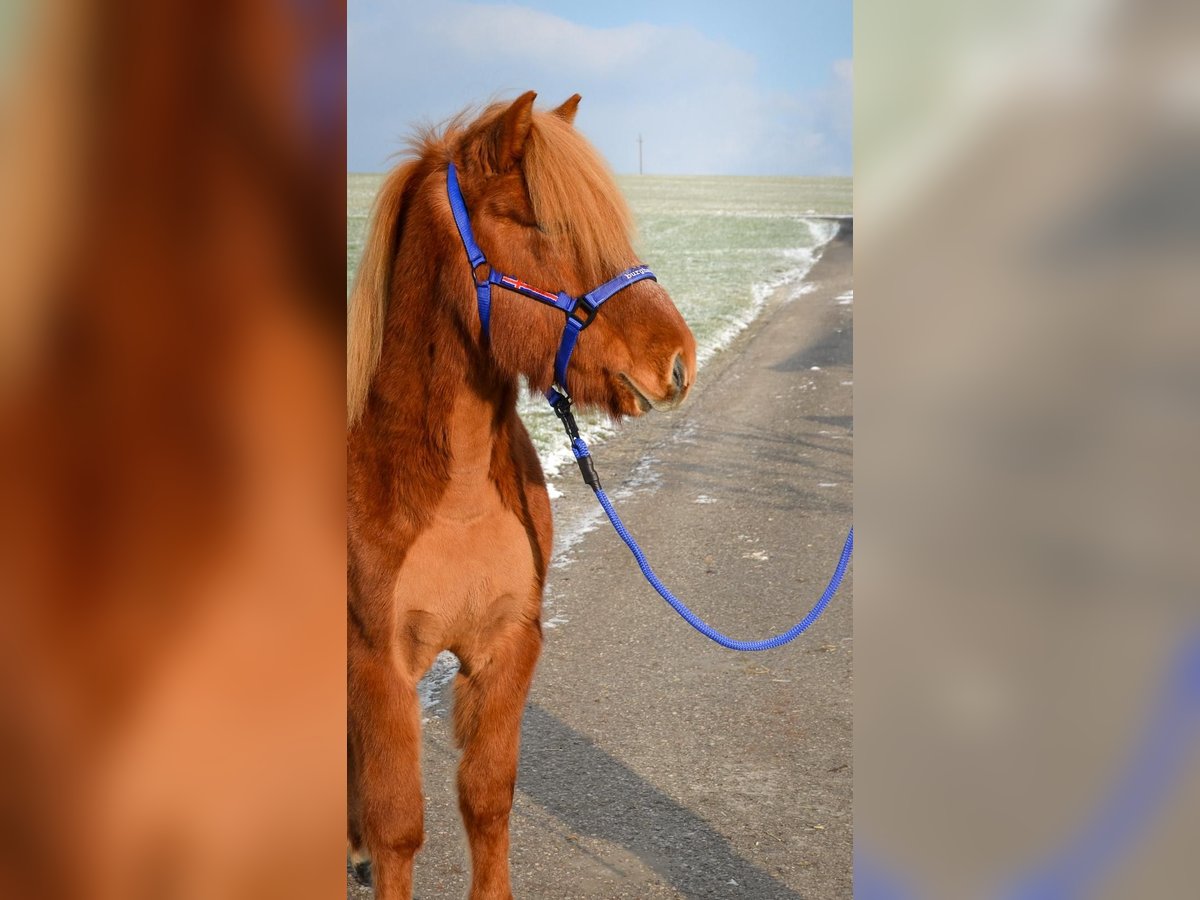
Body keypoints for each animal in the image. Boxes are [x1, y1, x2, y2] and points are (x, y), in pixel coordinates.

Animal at [346, 91, 697, 899]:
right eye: (537, 223)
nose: (678, 362)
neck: (451, 496)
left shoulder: (507, 647)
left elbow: (486, 797)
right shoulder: (379, 666)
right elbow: (397, 825)